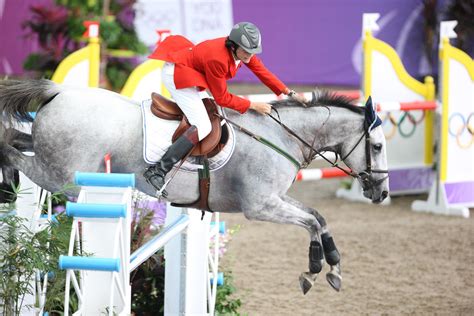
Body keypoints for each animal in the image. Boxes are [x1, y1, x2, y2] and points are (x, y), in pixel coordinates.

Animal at [0, 79, 388, 294]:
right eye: (377, 146)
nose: (381, 193)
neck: (283, 136)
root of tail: (60, 91)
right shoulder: (261, 206)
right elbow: (310, 221)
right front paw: (314, 270)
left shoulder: (276, 199)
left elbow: (318, 218)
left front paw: (333, 268)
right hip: (59, 174)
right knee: (12, 150)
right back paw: (7, 183)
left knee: (17, 139)